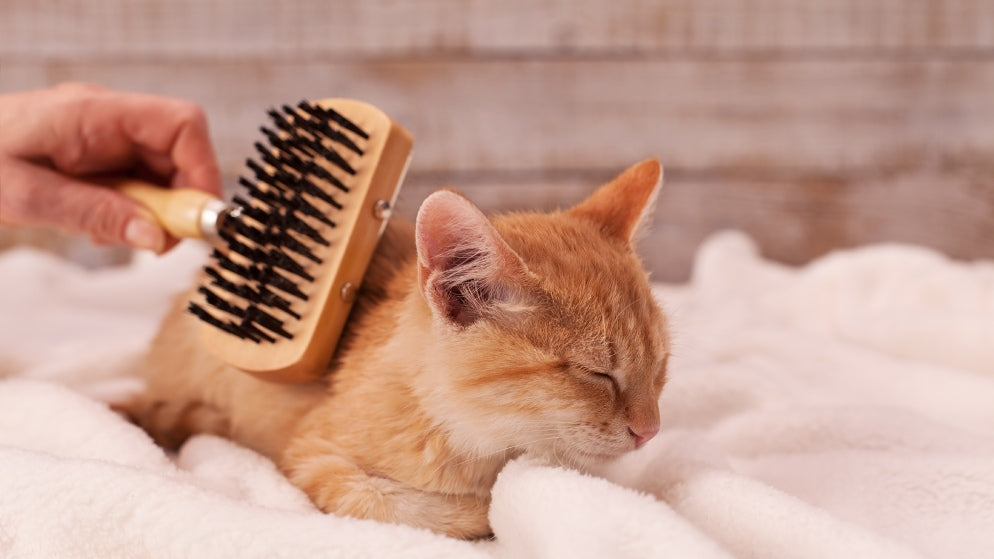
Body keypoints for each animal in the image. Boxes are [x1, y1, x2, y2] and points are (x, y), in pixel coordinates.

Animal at [130, 158, 668, 540]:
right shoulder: (311, 456)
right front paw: (482, 510)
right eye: (596, 372)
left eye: (660, 368)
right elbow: (393, 502)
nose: (650, 432)